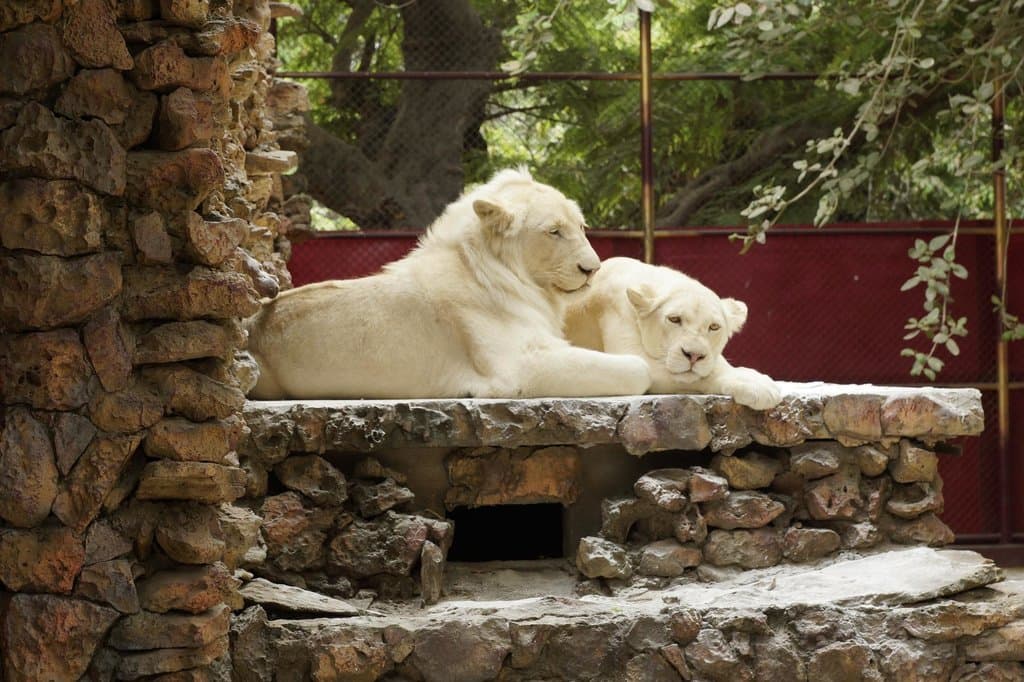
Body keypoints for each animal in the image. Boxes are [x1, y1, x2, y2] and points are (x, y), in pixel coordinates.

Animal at [563, 257, 782, 409]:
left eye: (714, 327)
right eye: (674, 319)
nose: (694, 355)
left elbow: (713, 365)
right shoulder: (632, 353)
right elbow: (700, 375)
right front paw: (758, 385)